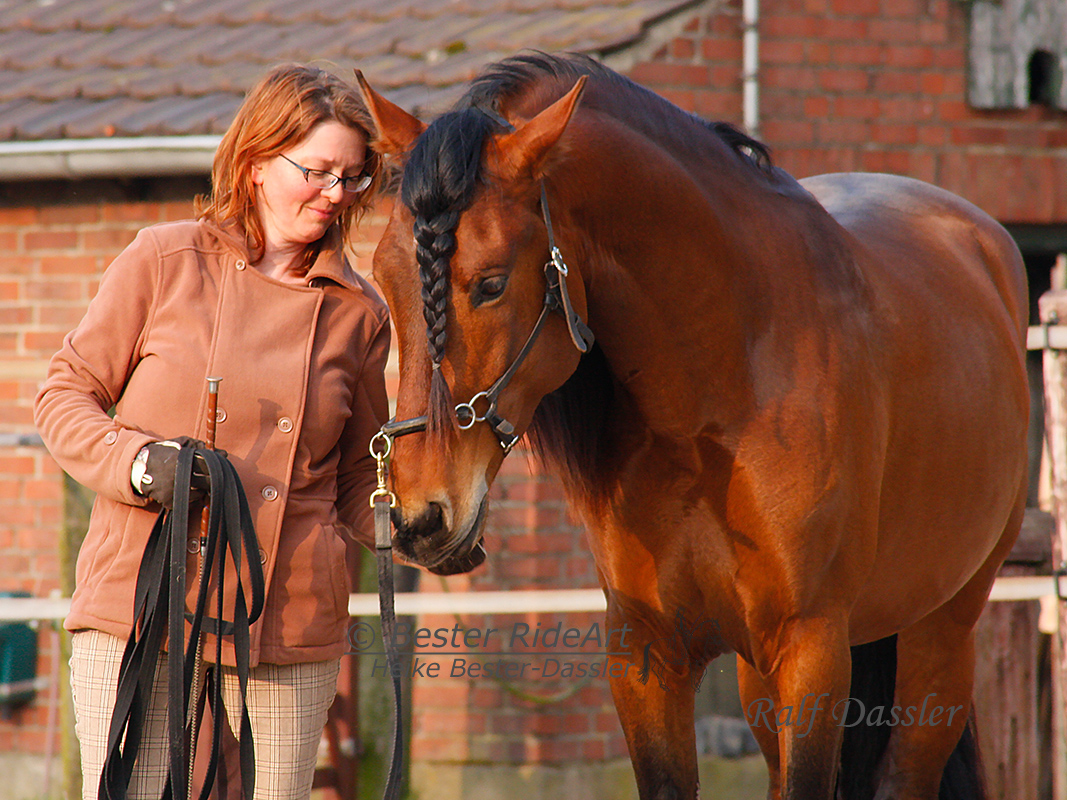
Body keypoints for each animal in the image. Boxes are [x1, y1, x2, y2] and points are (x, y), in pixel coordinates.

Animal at [354, 54, 1028, 800]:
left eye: (492, 283)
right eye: (383, 276)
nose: (419, 517)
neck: (722, 385)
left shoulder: (811, 647)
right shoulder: (647, 654)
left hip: (942, 634)